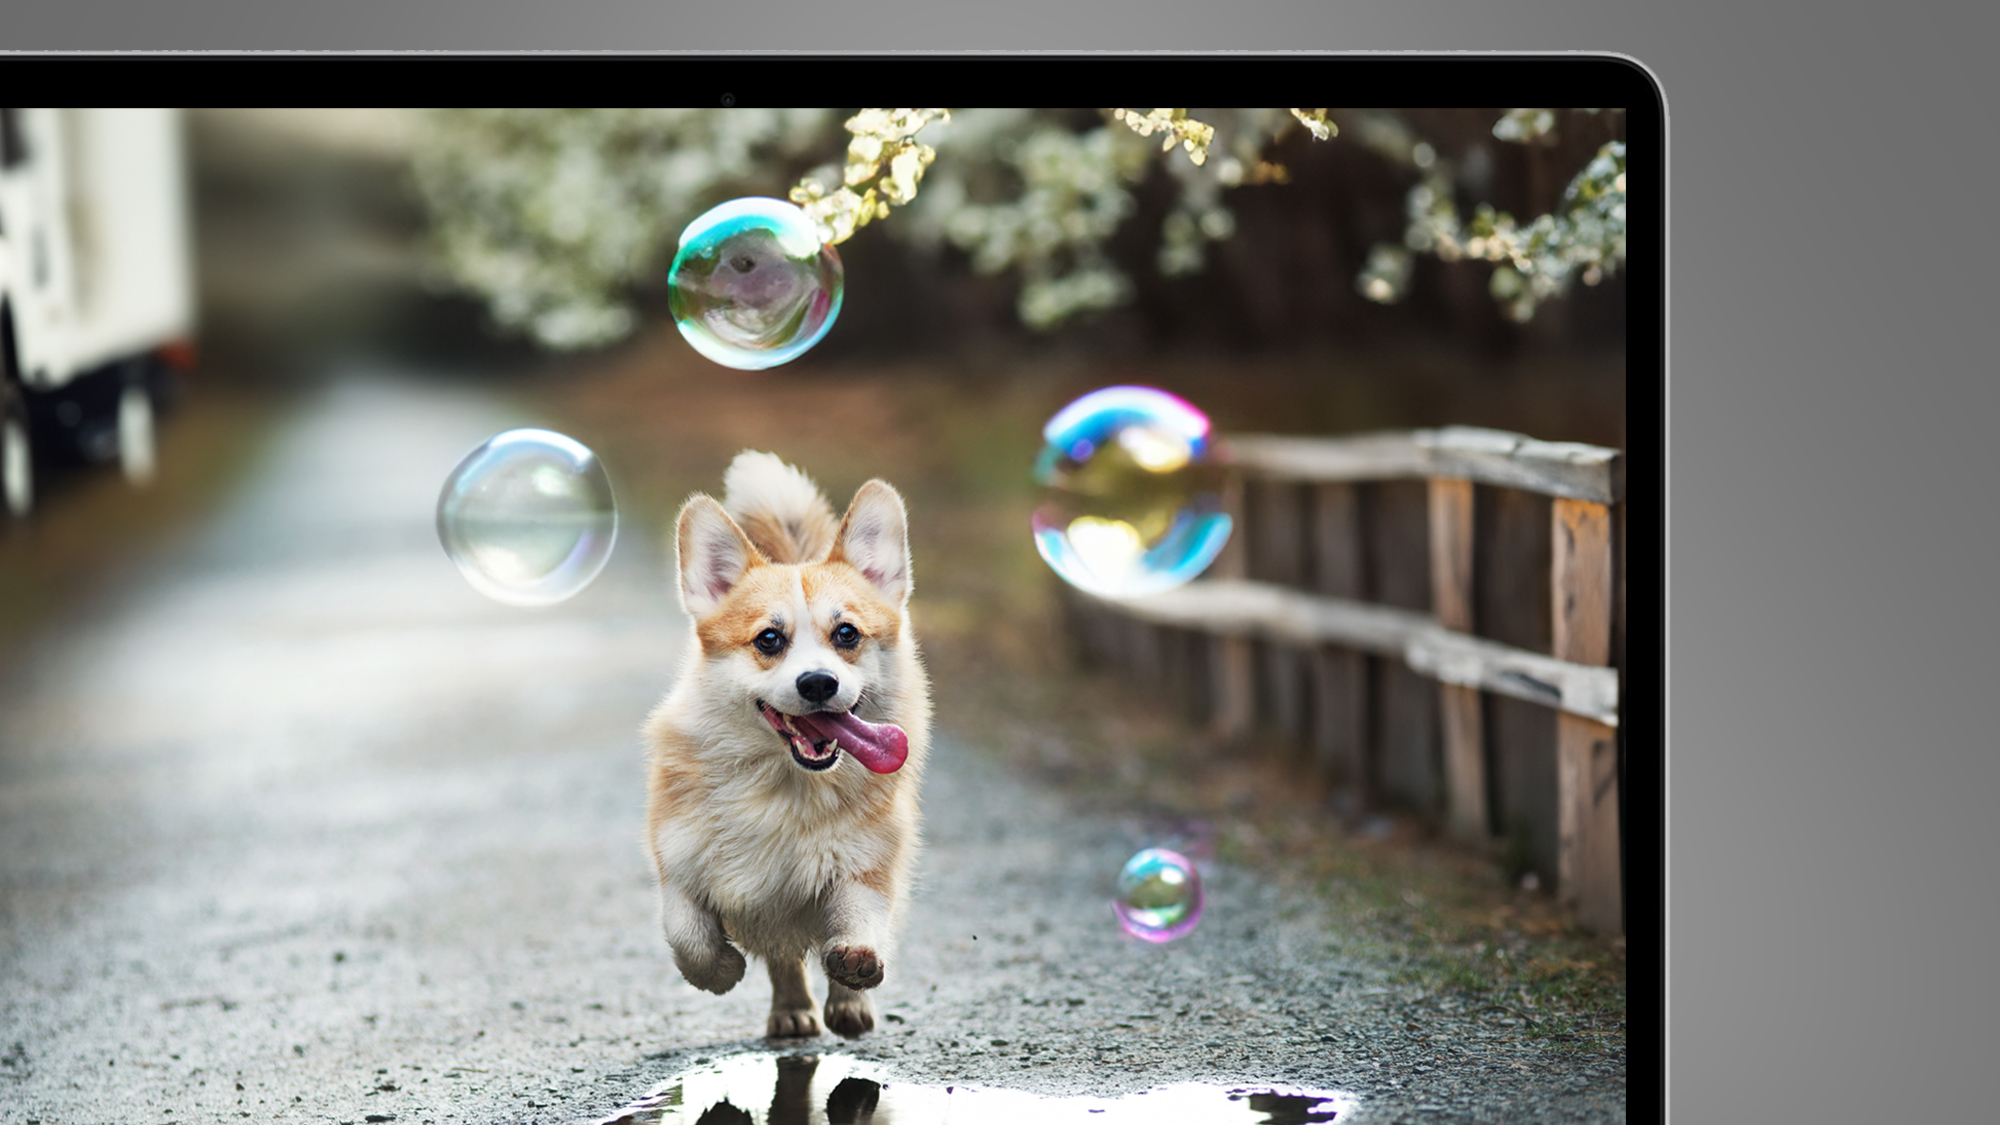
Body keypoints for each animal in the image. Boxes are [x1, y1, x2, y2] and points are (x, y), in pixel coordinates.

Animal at [640, 448, 928, 1032]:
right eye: (769, 639)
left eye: (847, 634)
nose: (818, 683)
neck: (784, 783)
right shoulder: (678, 864)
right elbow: (688, 936)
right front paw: (721, 971)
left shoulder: (867, 864)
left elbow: (860, 918)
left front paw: (856, 971)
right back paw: (792, 1011)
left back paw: (847, 1004)